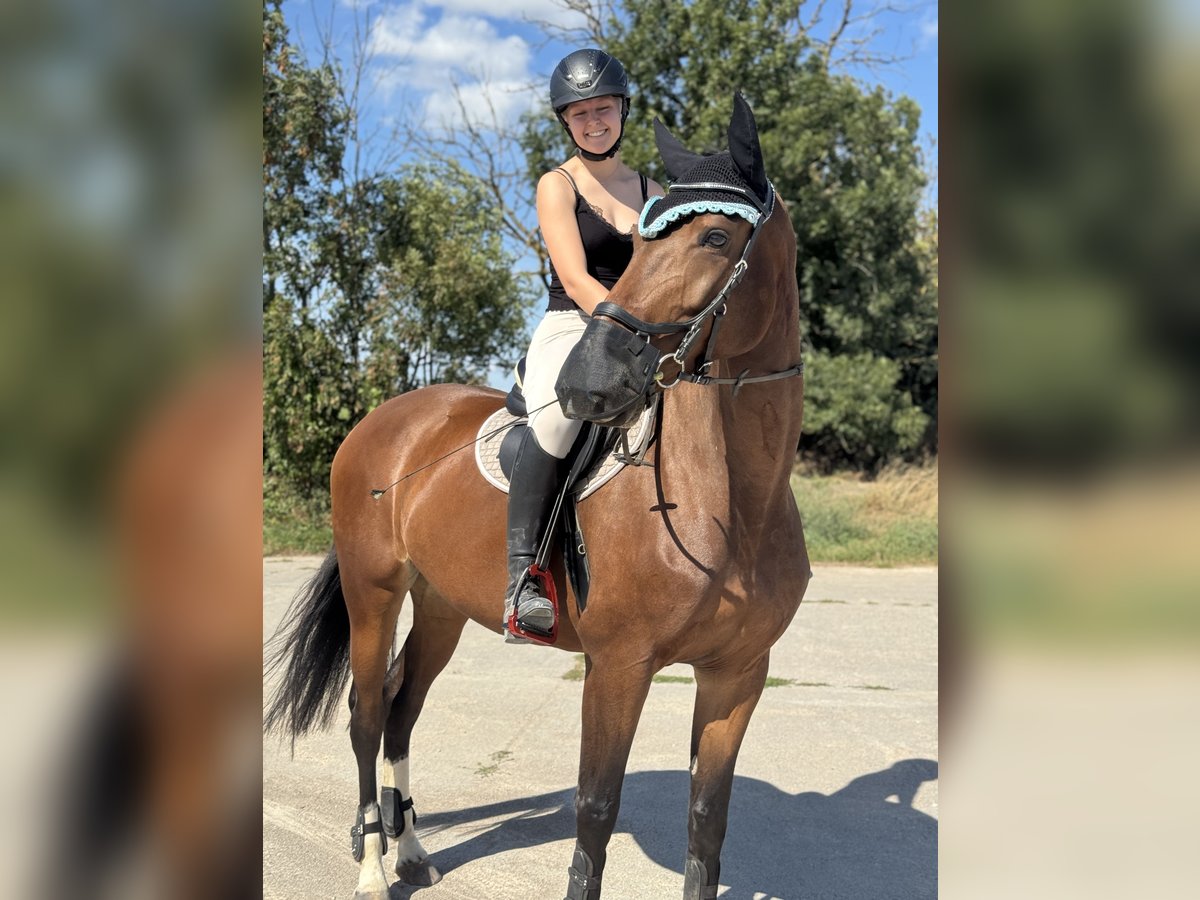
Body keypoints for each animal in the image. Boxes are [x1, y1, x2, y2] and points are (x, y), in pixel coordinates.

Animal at [265, 93, 810, 900]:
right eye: (640, 241)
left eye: (716, 236)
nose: (589, 384)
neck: (731, 503)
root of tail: (381, 422)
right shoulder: (618, 666)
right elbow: (595, 813)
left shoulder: (738, 675)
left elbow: (707, 824)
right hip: (375, 591)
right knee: (366, 714)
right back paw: (371, 869)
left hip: (441, 604)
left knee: (401, 708)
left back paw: (414, 851)